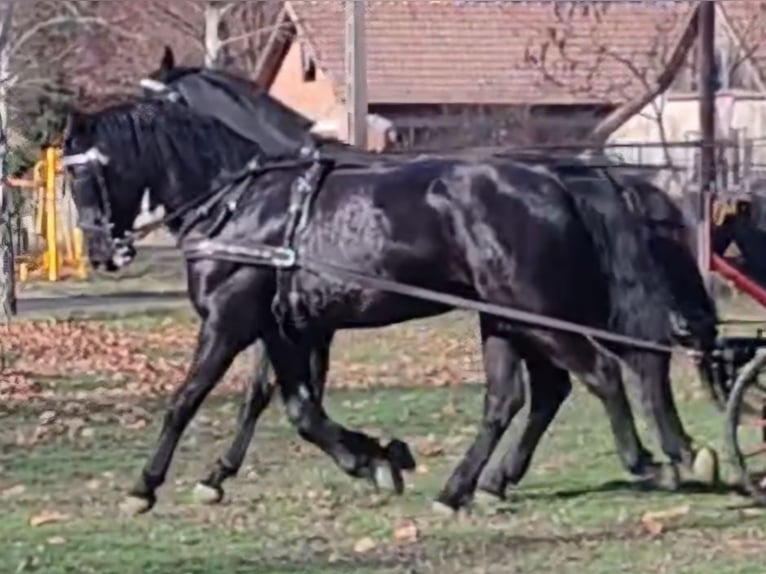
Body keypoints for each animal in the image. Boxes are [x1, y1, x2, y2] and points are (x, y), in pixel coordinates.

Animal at [61, 93, 717, 515]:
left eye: (83, 175)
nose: (100, 252)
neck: (243, 204)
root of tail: (558, 181)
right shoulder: (289, 330)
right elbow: (298, 409)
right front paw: (377, 457)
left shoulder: (230, 323)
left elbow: (188, 400)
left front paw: (145, 486)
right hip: (508, 319)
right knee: (520, 396)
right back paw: (466, 487)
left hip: (537, 310)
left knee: (602, 372)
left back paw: (646, 461)